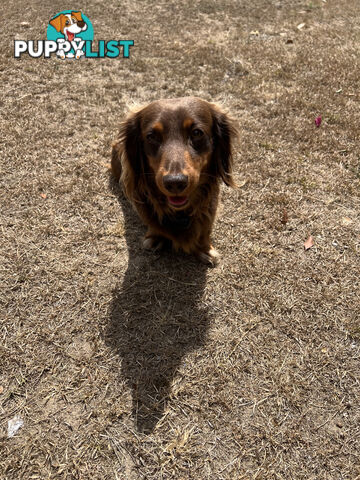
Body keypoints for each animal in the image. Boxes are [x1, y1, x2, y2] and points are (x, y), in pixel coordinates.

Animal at [111, 97, 238, 266]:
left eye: (196, 132)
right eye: (151, 136)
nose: (175, 183)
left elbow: (204, 230)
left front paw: (205, 249)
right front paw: (155, 238)